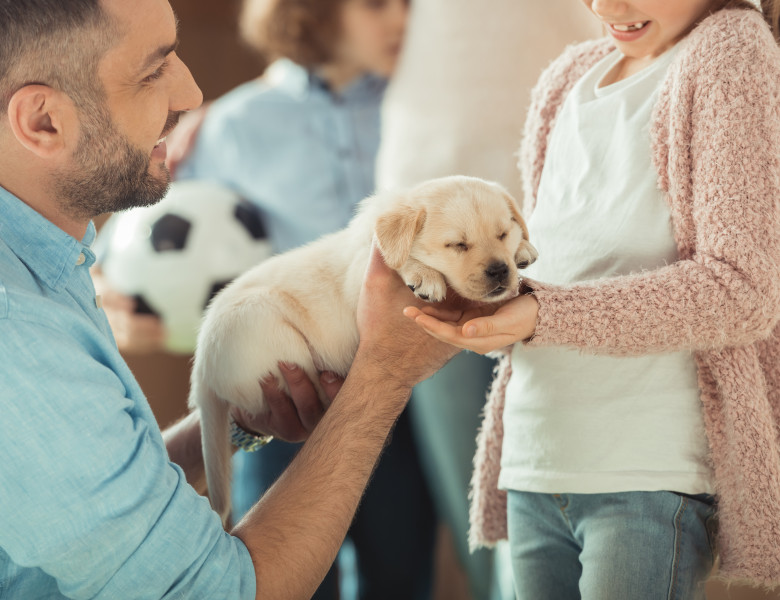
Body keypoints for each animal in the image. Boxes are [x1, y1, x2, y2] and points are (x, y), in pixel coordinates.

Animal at [192, 175, 540, 520]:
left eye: (502, 234)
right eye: (457, 245)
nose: (500, 270)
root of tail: (202, 371)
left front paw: (524, 248)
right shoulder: (363, 275)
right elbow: (399, 260)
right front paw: (422, 274)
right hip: (266, 329)